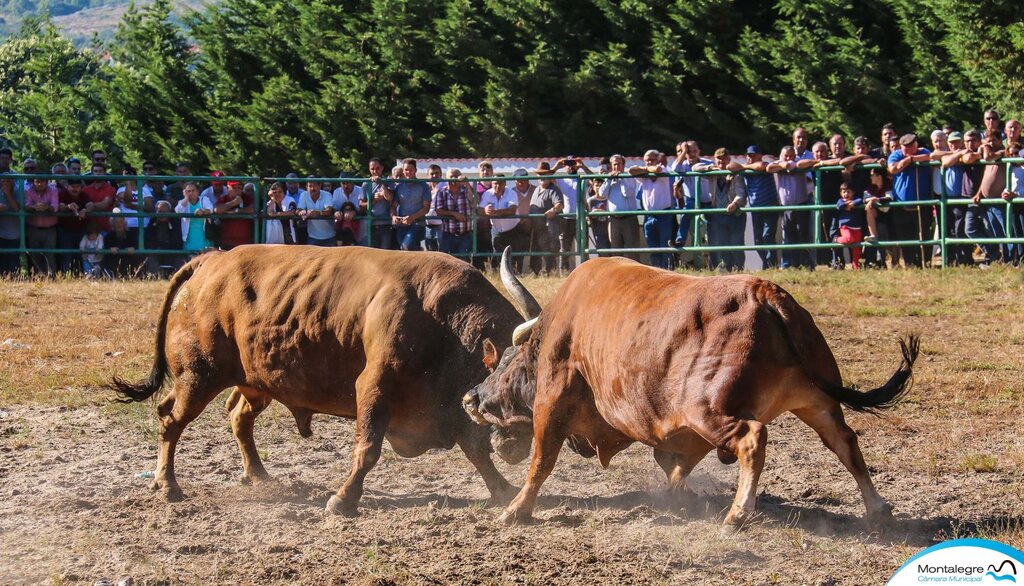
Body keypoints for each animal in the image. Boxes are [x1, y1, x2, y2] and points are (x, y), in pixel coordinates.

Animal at [110, 244, 544, 514]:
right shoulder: (373, 388)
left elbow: (476, 450)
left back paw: (258, 474)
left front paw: (502, 489)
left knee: (238, 417)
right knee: (170, 418)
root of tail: (209, 263)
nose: (519, 445)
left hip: (256, 381)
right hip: (198, 376)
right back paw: (167, 485)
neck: (440, 319)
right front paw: (343, 500)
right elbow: (367, 449)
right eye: (512, 376)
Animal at [464, 256, 921, 524]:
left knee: (753, 438)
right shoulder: (679, 430)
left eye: (505, 360)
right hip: (815, 401)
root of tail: (766, 294)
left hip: (709, 408)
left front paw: (516, 510)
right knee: (844, 440)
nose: (470, 398)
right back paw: (877, 507)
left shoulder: (553, 398)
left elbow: (542, 460)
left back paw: (738, 513)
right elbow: (676, 464)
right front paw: (673, 495)